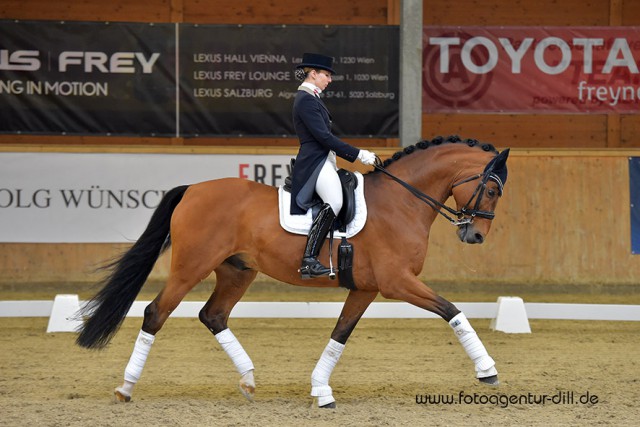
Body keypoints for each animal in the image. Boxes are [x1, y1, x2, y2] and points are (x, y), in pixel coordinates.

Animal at [77, 136, 512, 408]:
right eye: (491, 190)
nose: (474, 235)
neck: (401, 202)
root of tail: (193, 189)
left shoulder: (367, 289)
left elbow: (339, 335)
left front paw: (321, 390)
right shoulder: (397, 283)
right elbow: (452, 310)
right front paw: (487, 370)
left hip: (237, 272)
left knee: (213, 315)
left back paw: (249, 380)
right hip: (190, 267)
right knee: (156, 313)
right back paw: (125, 388)